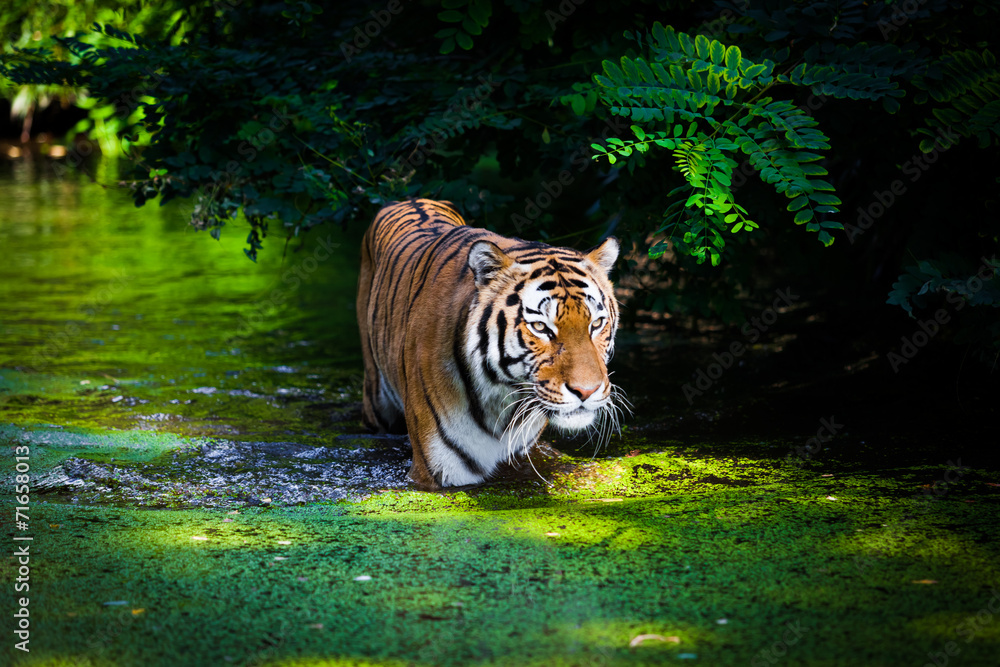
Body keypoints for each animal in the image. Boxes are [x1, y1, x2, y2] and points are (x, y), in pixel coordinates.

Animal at [356, 198, 622, 489]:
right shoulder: (434, 473)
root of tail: (409, 200)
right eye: (540, 327)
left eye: (596, 323)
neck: (505, 400)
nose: (587, 391)